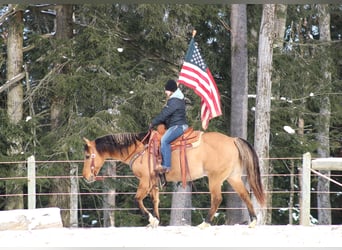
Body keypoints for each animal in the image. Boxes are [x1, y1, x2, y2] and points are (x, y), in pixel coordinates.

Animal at [82, 127, 264, 229]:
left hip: (215, 178)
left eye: (87, 156)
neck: (140, 150)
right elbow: (155, 200)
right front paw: (155, 220)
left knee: (217, 199)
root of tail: (232, 140)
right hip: (233, 177)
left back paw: (205, 223)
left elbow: (137, 199)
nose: (85, 176)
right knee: (245, 195)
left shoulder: (145, 180)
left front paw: (151, 219)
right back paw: (253, 221)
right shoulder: (153, 182)